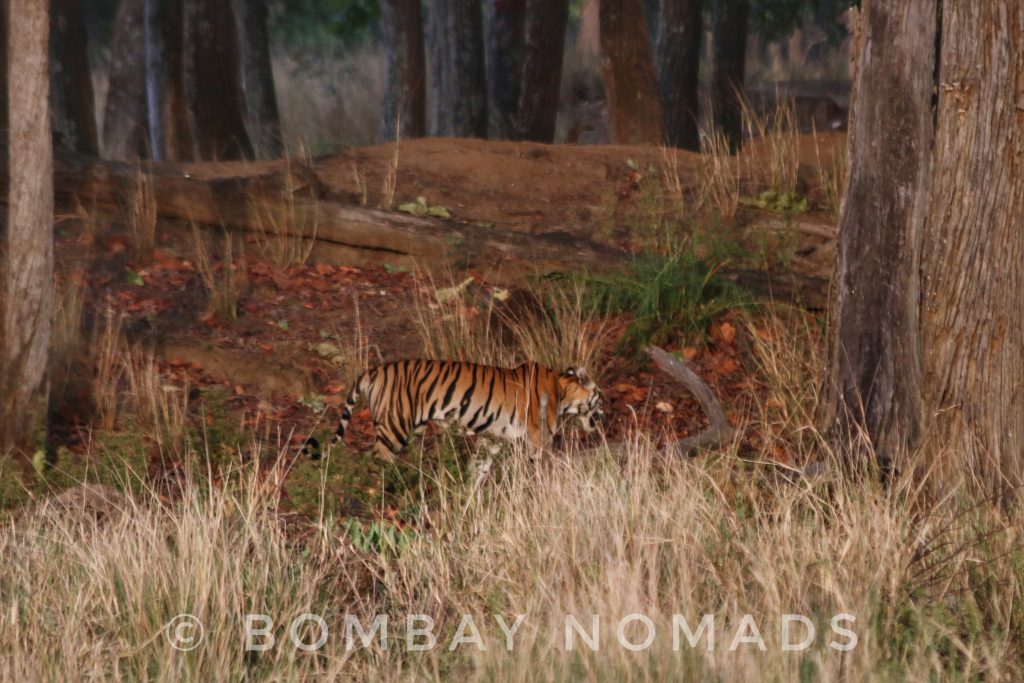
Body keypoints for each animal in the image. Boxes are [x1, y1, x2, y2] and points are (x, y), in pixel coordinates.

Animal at [303, 360, 606, 462]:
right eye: (601, 399)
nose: (605, 415)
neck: (562, 390)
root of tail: (374, 370)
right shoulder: (536, 440)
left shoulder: (493, 439)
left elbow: (480, 468)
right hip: (393, 428)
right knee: (377, 459)